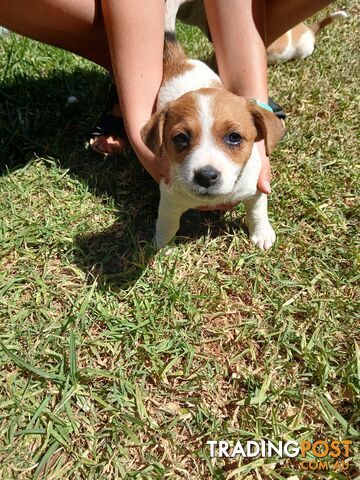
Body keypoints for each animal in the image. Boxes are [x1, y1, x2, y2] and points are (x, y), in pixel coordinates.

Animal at [141, 1, 284, 251]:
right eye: (180, 138)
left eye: (234, 137)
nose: (206, 176)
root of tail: (180, 61)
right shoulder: (169, 198)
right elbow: (167, 223)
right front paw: (163, 245)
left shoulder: (256, 187)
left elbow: (257, 210)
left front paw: (262, 233)